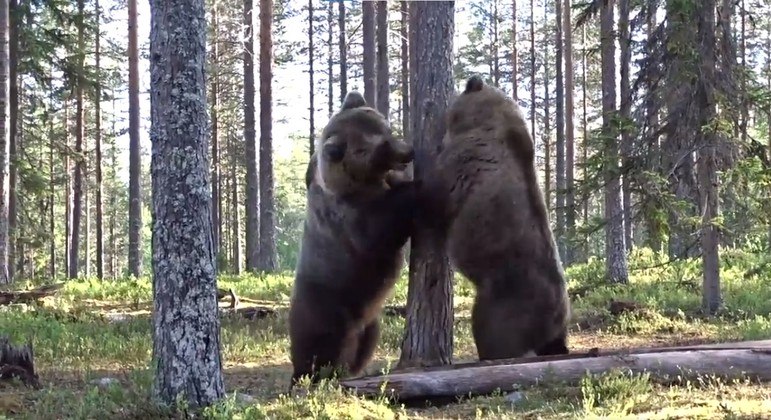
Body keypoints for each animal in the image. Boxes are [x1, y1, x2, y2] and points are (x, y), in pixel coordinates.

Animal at [286, 90, 416, 386]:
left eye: (386, 128)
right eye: (378, 148)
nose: (408, 152)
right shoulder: (350, 218)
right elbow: (382, 228)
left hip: (370, 320)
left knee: (366, 341)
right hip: (329, 305)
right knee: (326, 346)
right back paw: (318, 374)